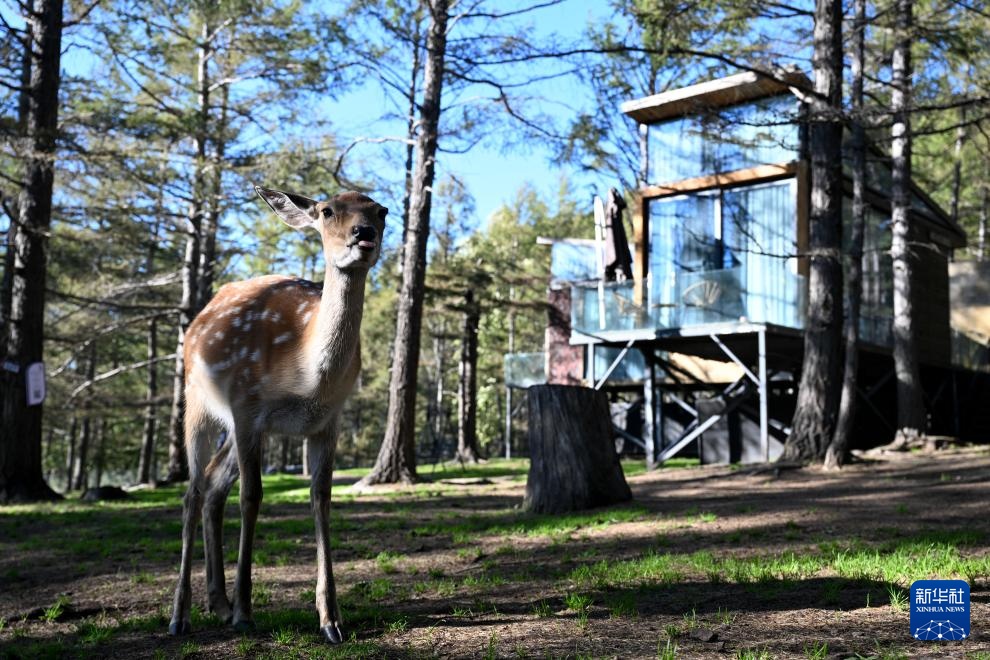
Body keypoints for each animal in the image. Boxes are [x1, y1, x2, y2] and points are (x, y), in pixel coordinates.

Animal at [170, 187, 388, 644]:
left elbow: (321, 497)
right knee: (192, 491)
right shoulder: (247, 407)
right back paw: (181, 615)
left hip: (238, 429)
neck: (304, 374)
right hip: (198, 402)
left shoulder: (327, 420)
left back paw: (218, 603)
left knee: (213, 485)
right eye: (327, 211)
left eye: (382, 211)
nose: (364, 233)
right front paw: (245, 612)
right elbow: (252, 496)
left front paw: (331, 619)